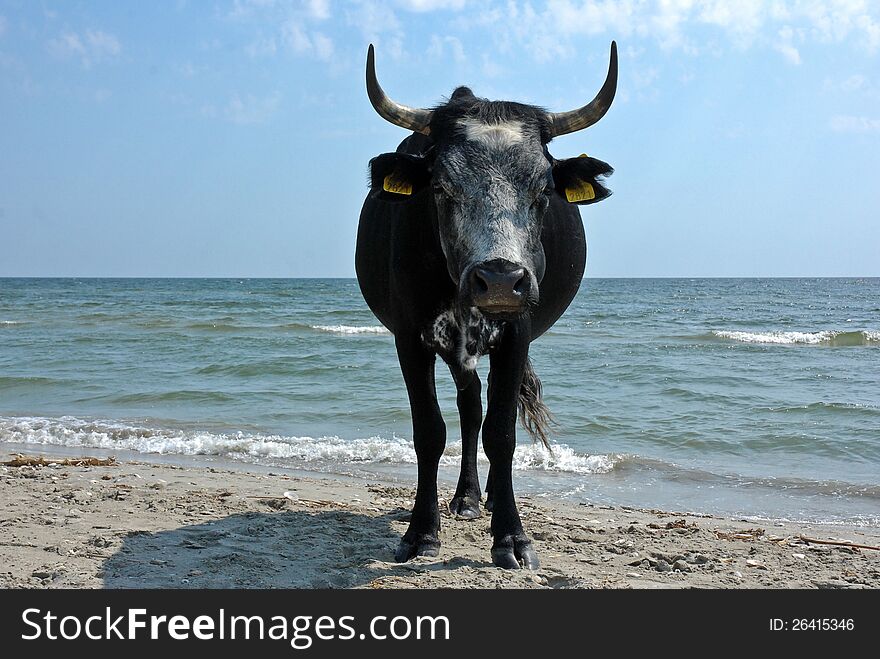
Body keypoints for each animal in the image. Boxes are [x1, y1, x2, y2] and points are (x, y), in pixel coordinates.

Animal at [354, 43, 616, 568]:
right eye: (440, 186)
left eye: (543, 190)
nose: (499, 281)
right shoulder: (409, 338)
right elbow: (430, 431)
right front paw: (421, 531)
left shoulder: (518, 333)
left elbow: (502, 432)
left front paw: (512, 537)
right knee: (470, 405)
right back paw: (467, 497)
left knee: (489, 410)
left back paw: (491, 497)